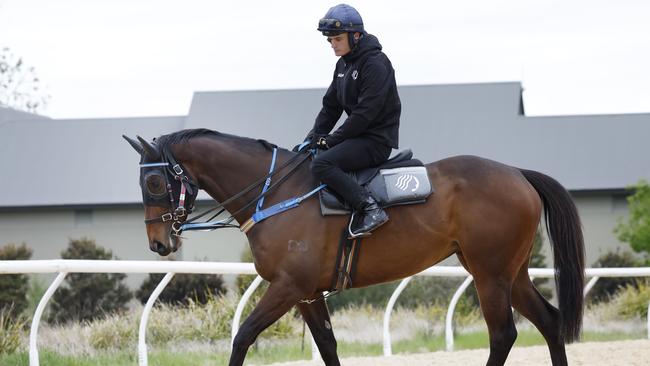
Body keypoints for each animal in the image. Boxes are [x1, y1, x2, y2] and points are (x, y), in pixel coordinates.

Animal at [121, 128, 584, 366]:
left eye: (155, 181)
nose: (159, 243)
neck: (277, 193)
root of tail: (517, 173)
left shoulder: (287, 287)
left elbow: (243, 337)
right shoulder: (307, 294)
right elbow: (327, 346)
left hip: (490, 275)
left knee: (504, 334)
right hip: (508, 272)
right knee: (549, 321)